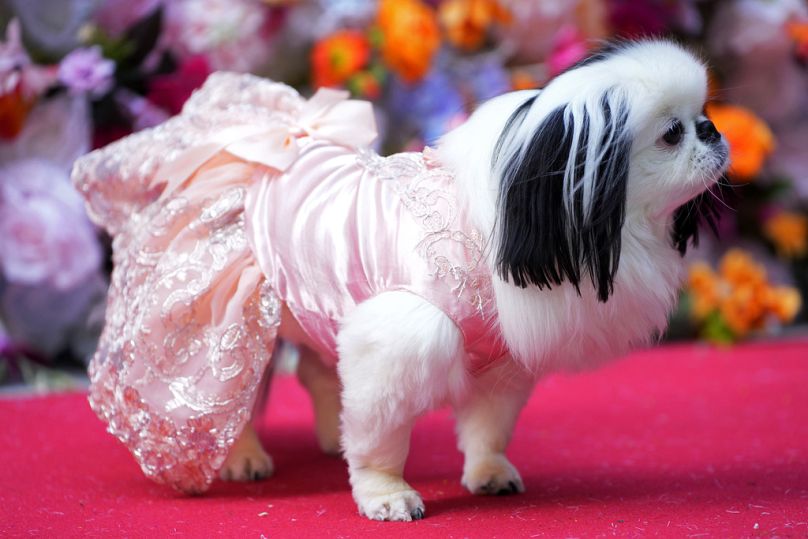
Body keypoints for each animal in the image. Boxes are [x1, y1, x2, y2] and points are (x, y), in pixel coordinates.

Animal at [74, 38, 724, 520]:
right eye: (673, 134)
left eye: (703, 118)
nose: (714, 132)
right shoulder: (402, 342)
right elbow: (381, 438)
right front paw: (385, 496)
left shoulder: (499, 356)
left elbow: (489, 426)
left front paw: (488, 473)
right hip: (229, 325)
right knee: (228, 403)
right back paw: (242, 458)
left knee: (318, 373)